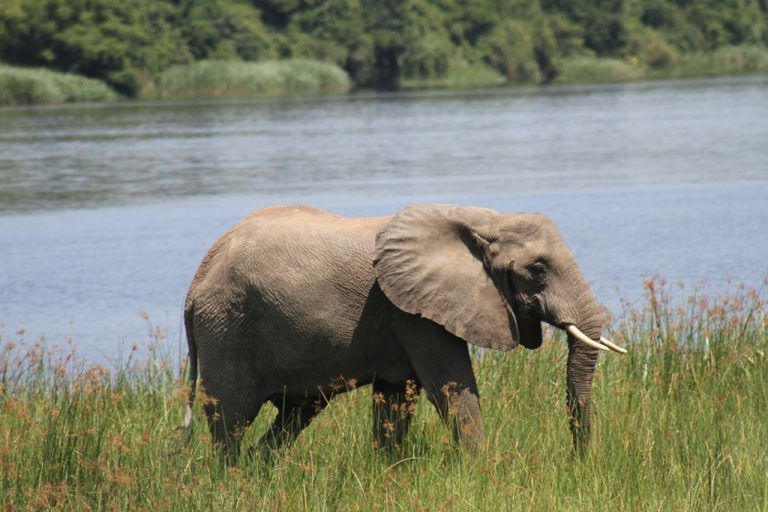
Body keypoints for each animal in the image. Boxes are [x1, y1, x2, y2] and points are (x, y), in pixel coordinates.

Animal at [180, 204, 626, 462]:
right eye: (537, 269)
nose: (577, 463)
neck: (484, 218)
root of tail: (195, 283)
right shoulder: (413, 312)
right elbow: (451, 386)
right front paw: (479, 471)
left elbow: (396, 400)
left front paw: (386, 471)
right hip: (228, 328)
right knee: (230, 419)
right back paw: (232, 478)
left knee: (295, 414)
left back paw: (260, 469)